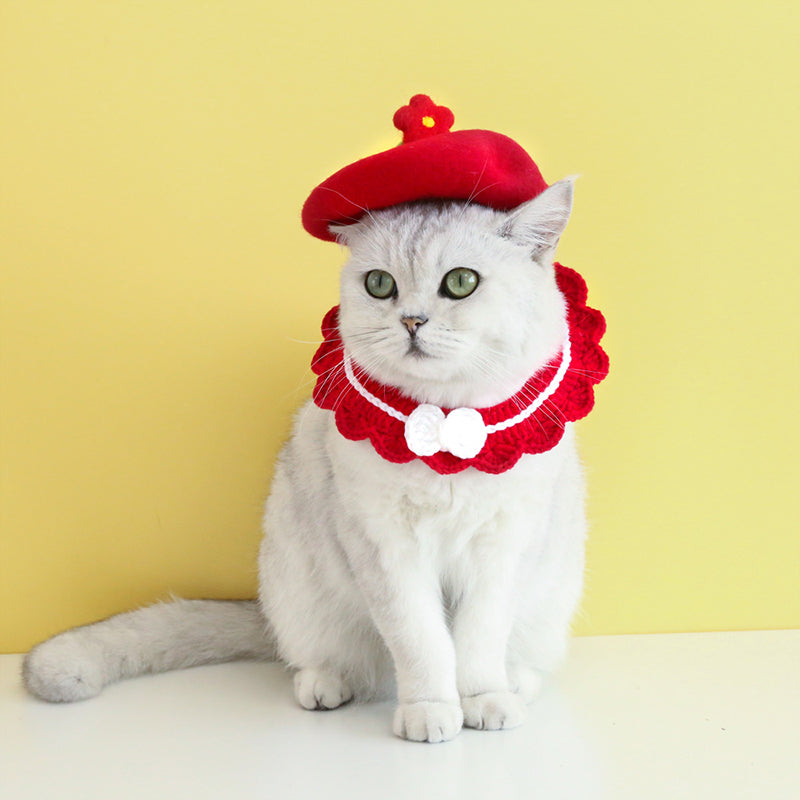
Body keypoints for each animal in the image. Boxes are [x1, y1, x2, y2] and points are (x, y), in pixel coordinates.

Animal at [23, 177, 600, 744]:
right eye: (379, 285)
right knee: (325, 659)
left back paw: (515, 684)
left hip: (549, 601)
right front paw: (430, 711)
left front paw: (482, 700)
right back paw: (326, 686)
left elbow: (478, 640)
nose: (412, 321)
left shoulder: (503, 546)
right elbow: (423, 642)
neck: (442, 431)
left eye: (461, 282)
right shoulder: (385, 546)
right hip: (300, 589)